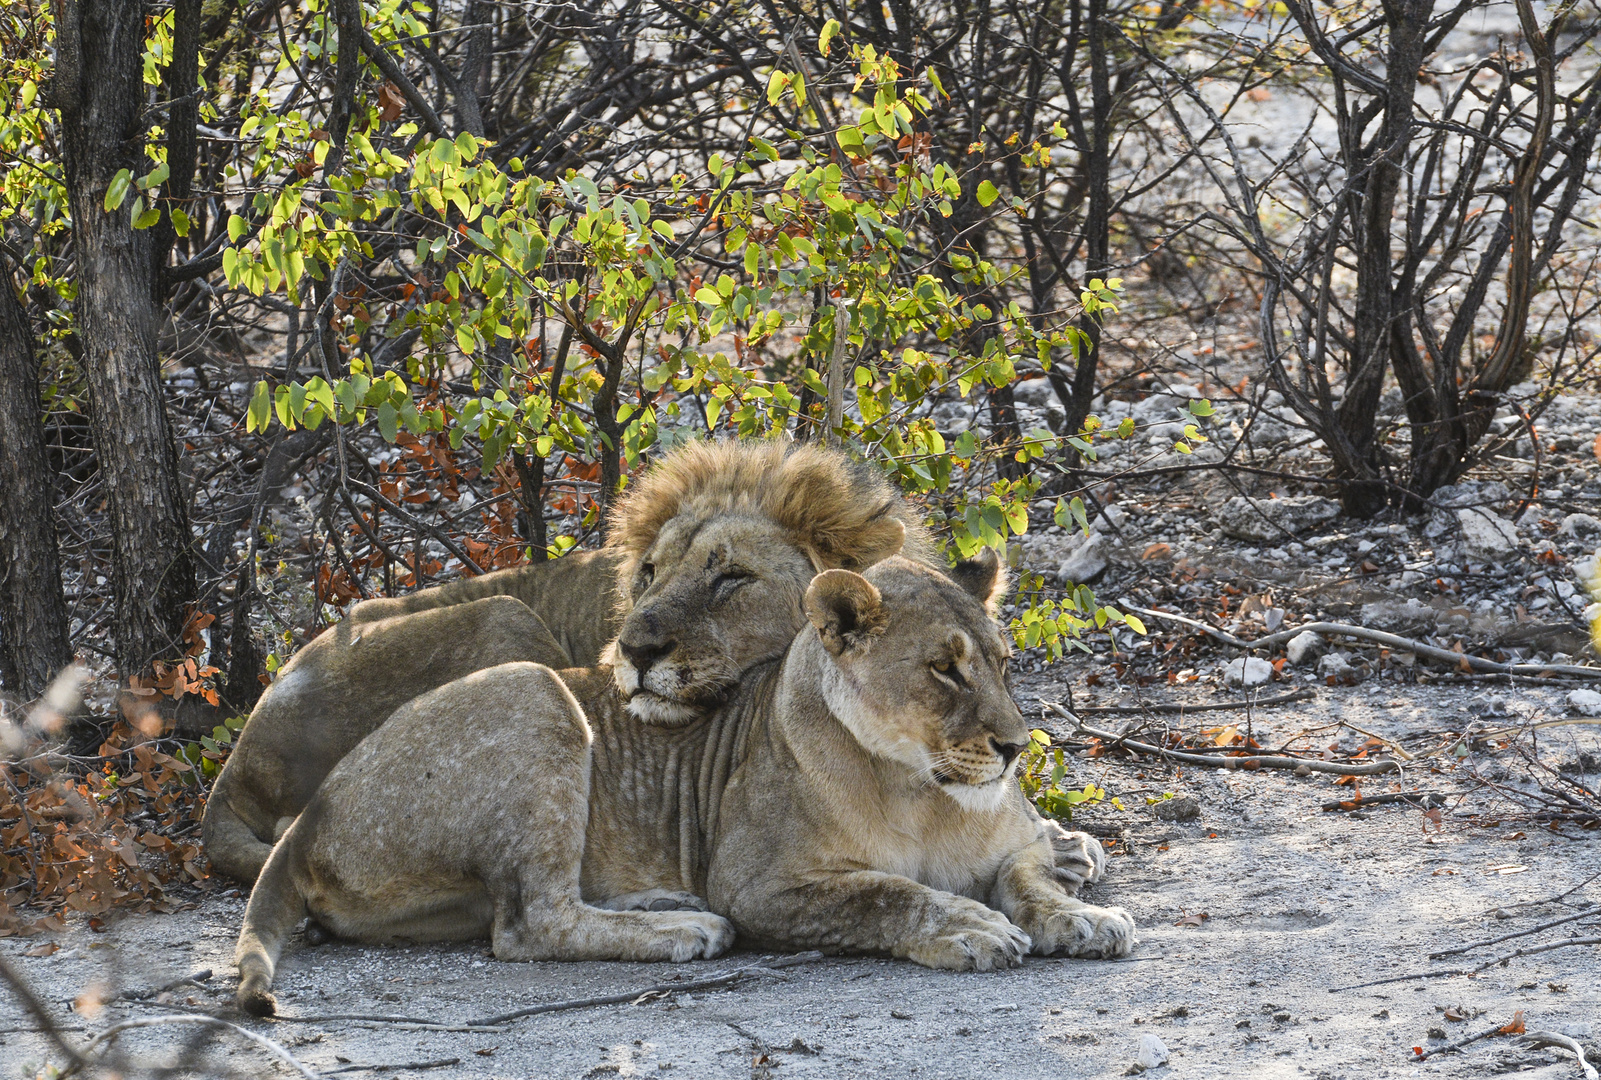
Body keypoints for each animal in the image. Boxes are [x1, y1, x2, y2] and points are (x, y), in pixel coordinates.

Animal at [236, 553, 1133, 1017]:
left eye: (1004, 664)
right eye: (944, 670)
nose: (1015, 748)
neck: (923, 789)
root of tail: (305, 821)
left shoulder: (1012, 839)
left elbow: (1029, 875)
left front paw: (1083, 917)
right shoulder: (758, 884)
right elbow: (887, 894)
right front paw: (970, 927)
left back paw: (661, 902)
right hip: (534, 690)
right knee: (528, 923)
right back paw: (683, 931)